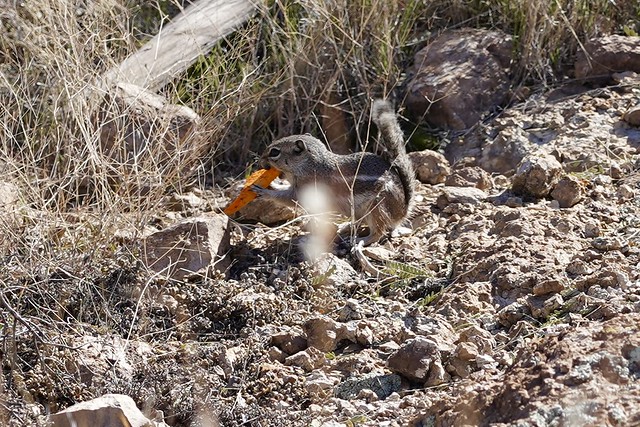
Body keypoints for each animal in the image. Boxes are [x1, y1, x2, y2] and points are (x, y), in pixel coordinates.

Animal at [253, 99, 414, 246]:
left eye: (274, 152)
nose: (260, 159)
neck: (310, 165)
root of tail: (403, 210)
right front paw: (274, 184)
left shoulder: (306, 188)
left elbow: (289, 199)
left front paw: (265, 192)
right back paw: (345, 227)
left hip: (377, 208)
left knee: (378, 232)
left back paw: (360, 241)